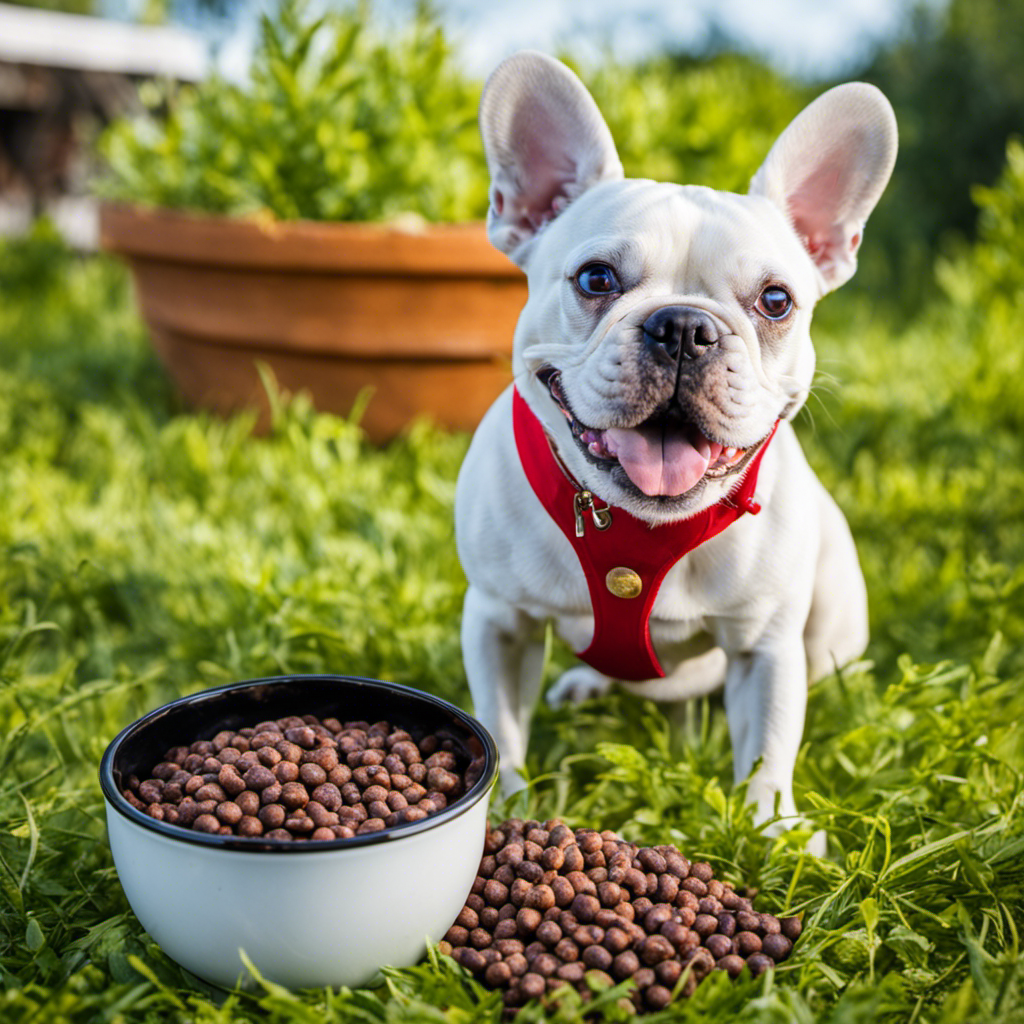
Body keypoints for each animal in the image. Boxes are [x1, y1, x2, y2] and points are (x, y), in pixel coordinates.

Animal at [456, 51, 897, 843]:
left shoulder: (765, 647)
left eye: (776, 301)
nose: (686, 327)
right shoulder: (499, 620)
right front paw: (502, 809)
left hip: (832, 625)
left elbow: (769, 742)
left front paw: (773, 829)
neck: (637, 527)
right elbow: (500, 726)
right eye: (596, 278)